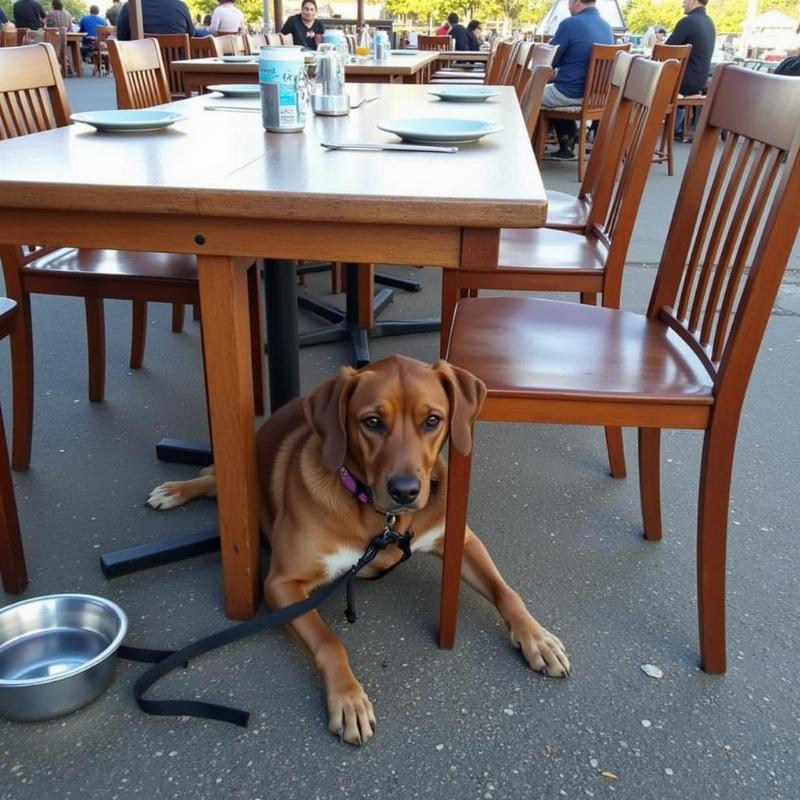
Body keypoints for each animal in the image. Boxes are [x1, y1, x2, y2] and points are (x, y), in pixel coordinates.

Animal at [148, 356, 568, 744]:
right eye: (372, 422)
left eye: (433, 420)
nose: (405, 491)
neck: (383, 521)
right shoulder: (282, 583)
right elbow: (329, 643)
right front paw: (349, 699)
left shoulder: (462, 541)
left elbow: (507, 592)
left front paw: (538, 638)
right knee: (210, 478)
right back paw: (175, 490)